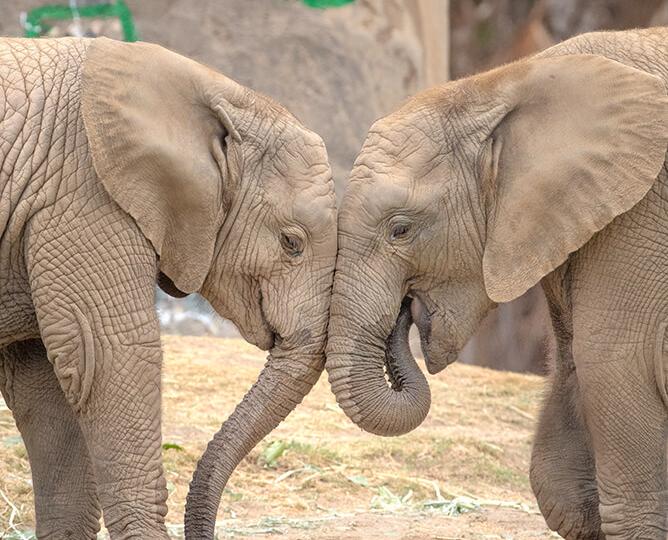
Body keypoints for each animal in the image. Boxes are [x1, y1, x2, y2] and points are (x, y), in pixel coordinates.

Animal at [325, 27, 668, 539]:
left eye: (400, 230)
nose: (406, 311)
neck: (506, 83)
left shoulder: (640, 216)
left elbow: (614, 365)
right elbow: (560, 478)